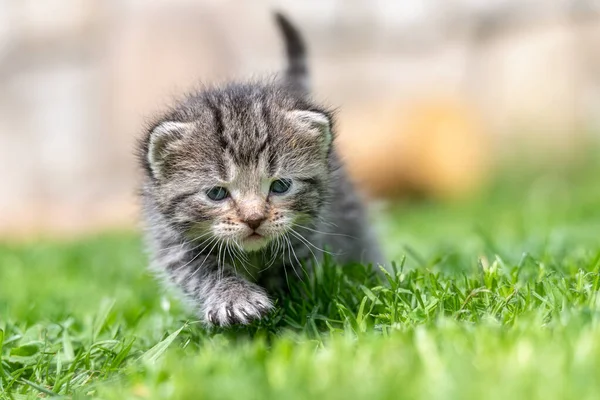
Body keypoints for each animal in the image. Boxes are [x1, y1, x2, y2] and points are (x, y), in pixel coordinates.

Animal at [138, 13, 382, 328]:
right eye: (216, 193)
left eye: (280, 186)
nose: (253, 219)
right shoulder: (175, 246)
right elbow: (206, 275)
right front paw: (234, 298)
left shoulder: (305, 237)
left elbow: (292, 278)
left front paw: (293, 314)